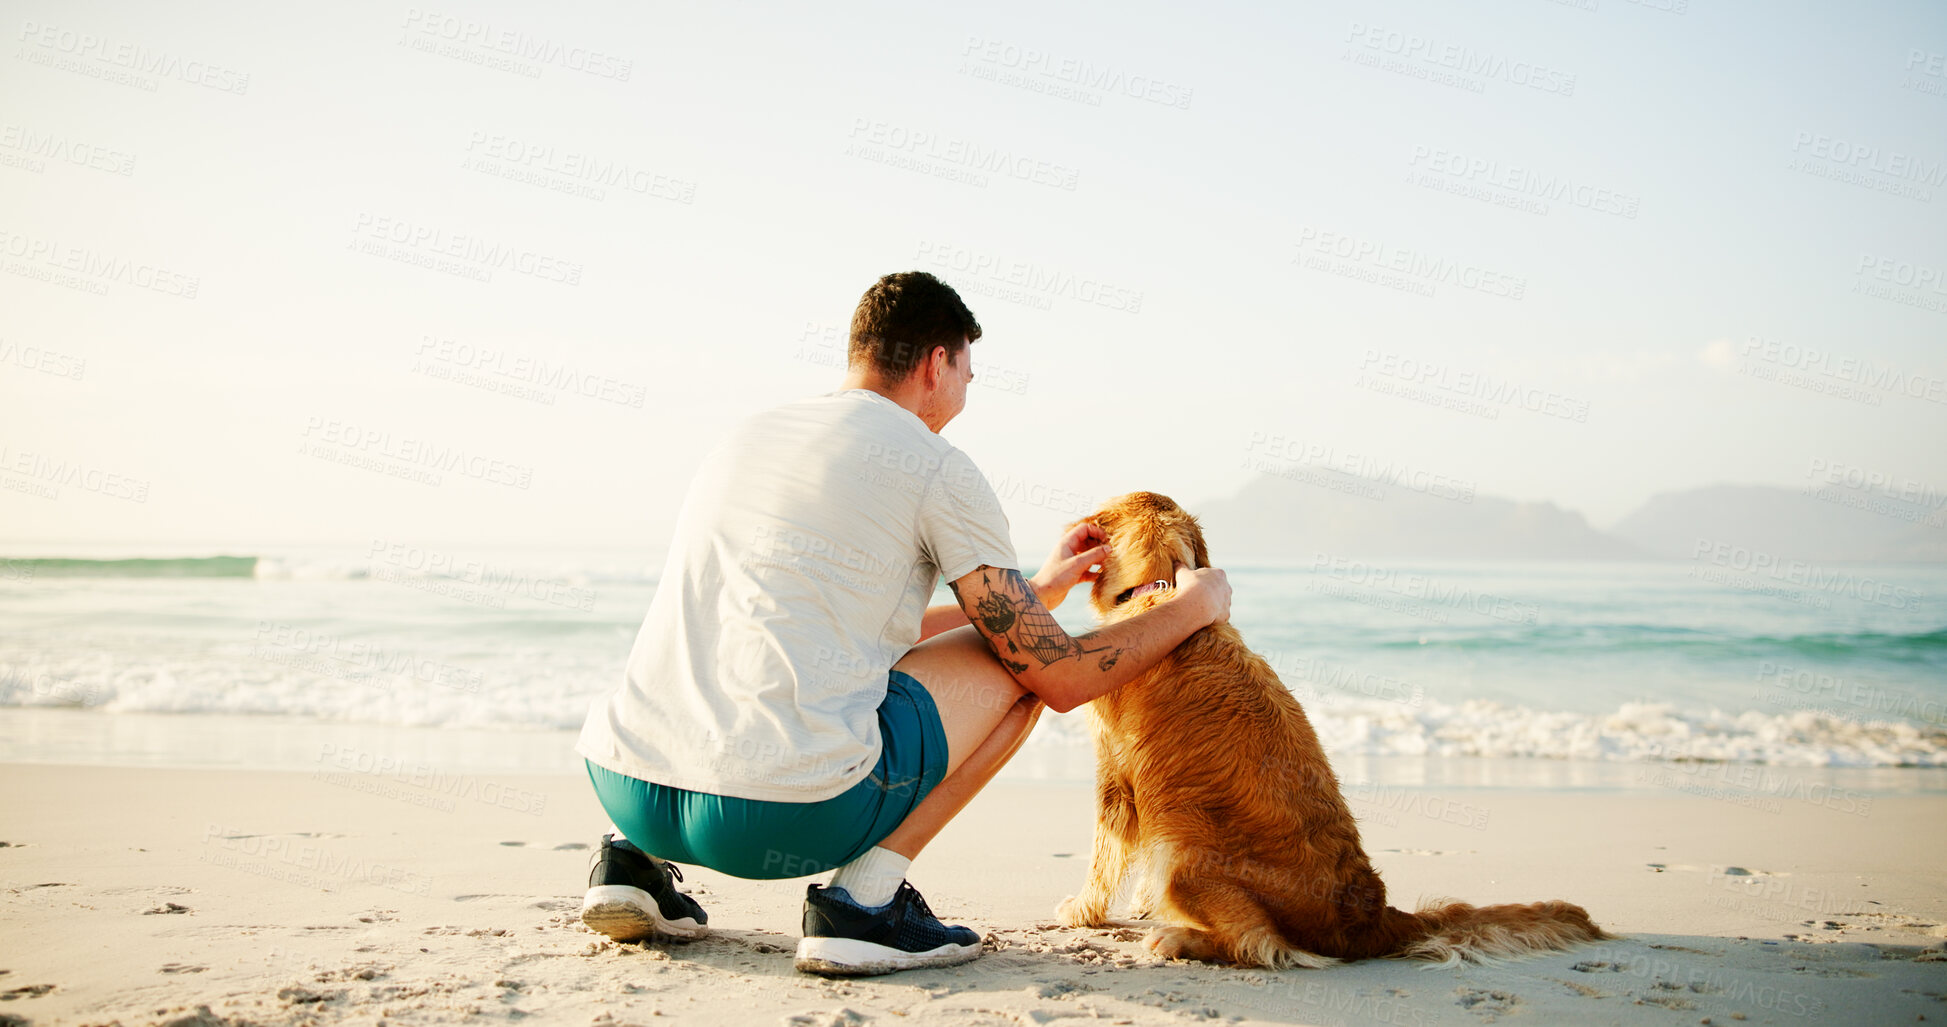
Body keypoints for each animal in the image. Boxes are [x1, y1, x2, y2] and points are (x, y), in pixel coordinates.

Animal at [1051, 494, 1612, 970]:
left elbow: (1103, 856)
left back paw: (1181, 938)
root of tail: (1372, 919)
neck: (1161, 591)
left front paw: (1081, 911)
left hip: (1183, 858)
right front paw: (1137, 906)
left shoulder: (1117, 774)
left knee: (1258, 944)